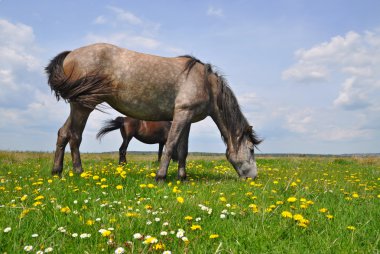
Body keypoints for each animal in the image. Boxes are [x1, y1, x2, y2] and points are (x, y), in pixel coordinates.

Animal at [45, 42, 262, 180]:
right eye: (251, 149)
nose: (253, 177)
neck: (205, 83)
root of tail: (71, 54)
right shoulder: (181, 114)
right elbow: (171, 146)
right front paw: (160, 177)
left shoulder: (187, 118)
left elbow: (183, 150)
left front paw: (182, 178)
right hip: (83, 105)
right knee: (75, 136)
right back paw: (79, 172)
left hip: (77, 105)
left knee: (63, 133)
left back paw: (57, 172)